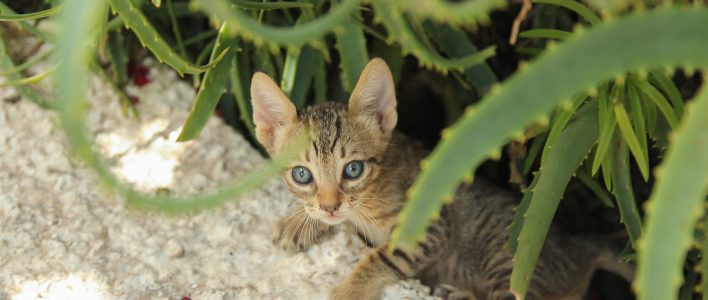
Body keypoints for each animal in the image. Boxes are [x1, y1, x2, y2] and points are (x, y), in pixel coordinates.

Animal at [250, 58, 632, 300]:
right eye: (302, 175)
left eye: (353, 169)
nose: (330, 206)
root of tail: (576, 245)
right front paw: (299, 223)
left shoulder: (429, 226)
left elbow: (384, 256)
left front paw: (349, 290)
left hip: (510, 259)